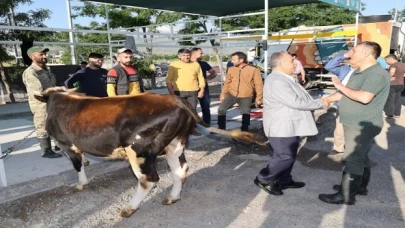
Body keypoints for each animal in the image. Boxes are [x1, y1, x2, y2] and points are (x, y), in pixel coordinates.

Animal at [34, 87, 260, 217]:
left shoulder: (65, 143)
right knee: (181, 170)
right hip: (175, 144)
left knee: (148, 180)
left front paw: (81, 184)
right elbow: (82, 160)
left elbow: (77, 164)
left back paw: (129, 208)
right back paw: (172, 197)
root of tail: (175, 100)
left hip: (138, 150)